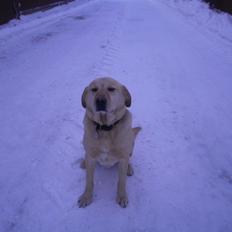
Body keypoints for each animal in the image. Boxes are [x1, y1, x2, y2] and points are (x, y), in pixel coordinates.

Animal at [78, 77, 140, 208]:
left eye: (111, 89)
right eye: (94, 89)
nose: (100, 101)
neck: (105, 128)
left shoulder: (123, 158)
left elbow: (121, 181)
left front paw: (122, 196)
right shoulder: (91, 156)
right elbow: (89, 181)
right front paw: (86, 197)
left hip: (131, 144)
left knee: (128, 158)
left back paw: (129, 168)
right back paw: (84, 162)